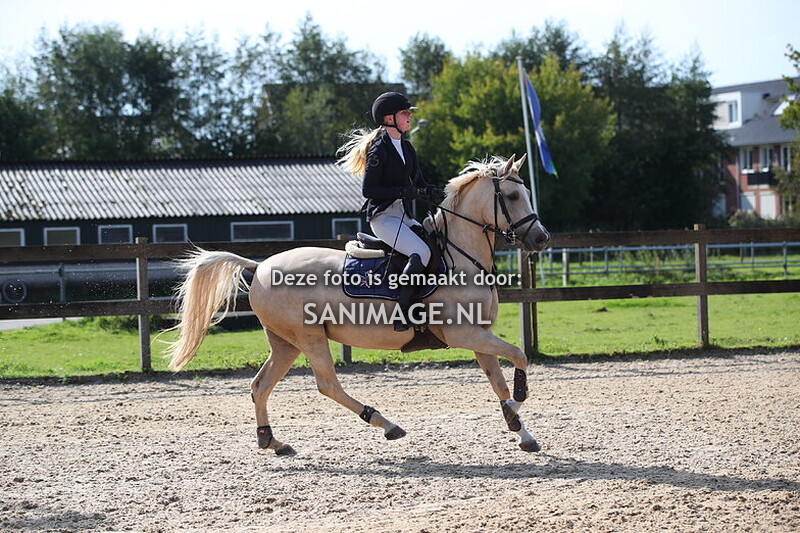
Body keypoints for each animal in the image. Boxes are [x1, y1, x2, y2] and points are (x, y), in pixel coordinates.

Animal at [165, 154, 551, 455]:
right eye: (512, 195)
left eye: (529, 194)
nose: (541, 238)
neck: (460, 257)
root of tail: (258, 266)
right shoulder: (462, 334)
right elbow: (519, 356)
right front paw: (516, 407)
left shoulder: (480, 335)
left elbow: (499, 382)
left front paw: (522, 432)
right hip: (308, 337)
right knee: (327, 385)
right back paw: (386, 423)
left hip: (285, 342)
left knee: (261, 386)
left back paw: (272, 442)